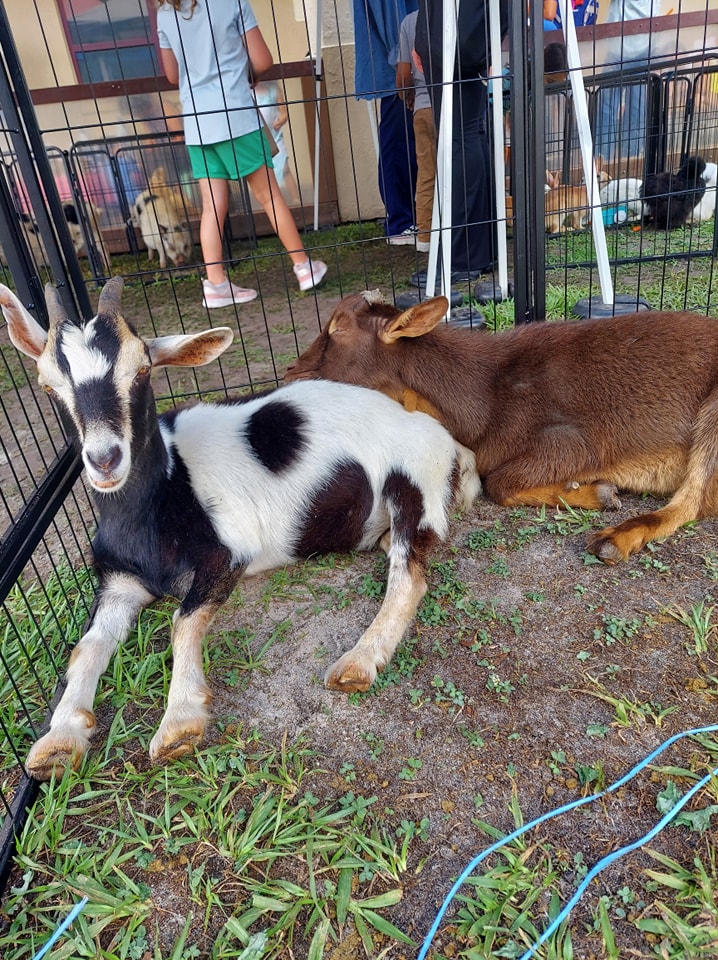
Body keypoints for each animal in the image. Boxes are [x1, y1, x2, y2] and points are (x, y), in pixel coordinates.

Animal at [4, 276, 484, 780]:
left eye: (143, 369)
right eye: (47, 385)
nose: (105, 459)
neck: (166, 499)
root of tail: (443, 437)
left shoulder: (227, 553)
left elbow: (183, 620)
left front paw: (179, 723)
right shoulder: (118, 583)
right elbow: (87, 647)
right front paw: (57, 742)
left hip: (413, 479)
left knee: (409, 574)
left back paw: (357, 663)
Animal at [286, 290, 718, 564]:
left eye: (338, 328)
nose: (290, 372)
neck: (487, 392)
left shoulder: (575, 440)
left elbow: (499, 482)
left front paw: (599, 492)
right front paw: (595, 491)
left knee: (691, 502)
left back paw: (615, 539)